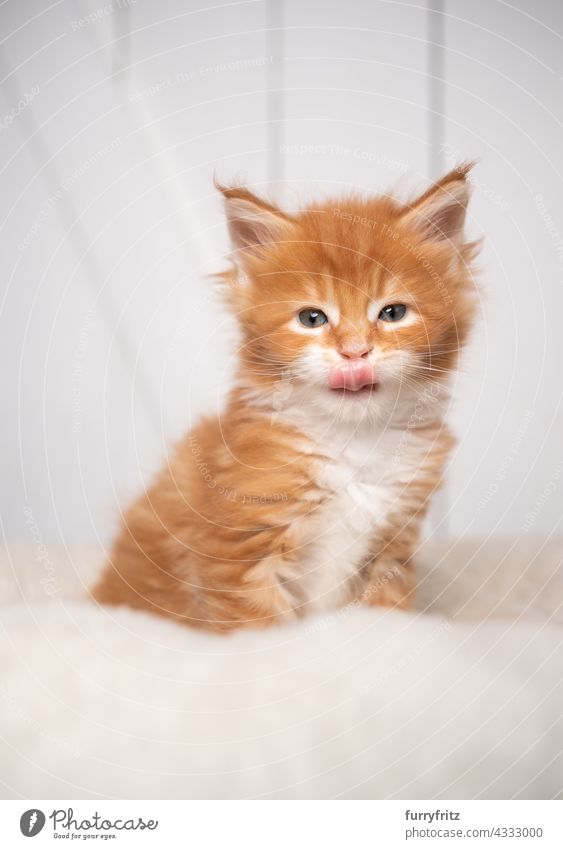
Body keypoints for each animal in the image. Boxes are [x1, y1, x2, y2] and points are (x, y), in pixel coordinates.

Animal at [93, 164, 480, 628]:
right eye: (312, 318)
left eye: (393, 313)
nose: (355, 352)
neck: (354, 441)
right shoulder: (241, 552)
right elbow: (261, 630)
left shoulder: (391, 552)